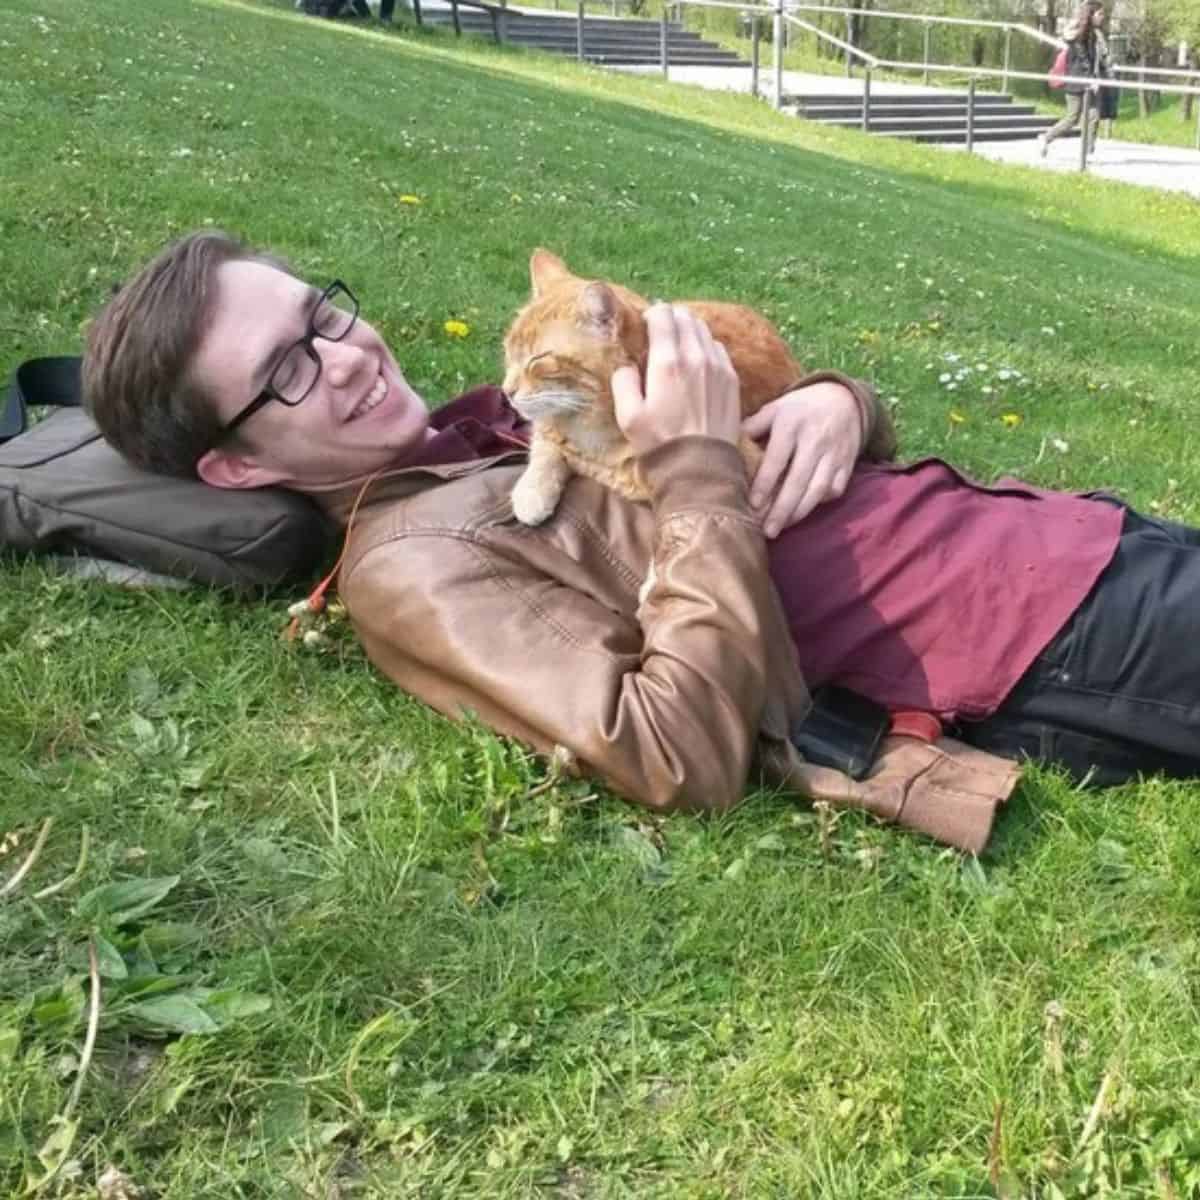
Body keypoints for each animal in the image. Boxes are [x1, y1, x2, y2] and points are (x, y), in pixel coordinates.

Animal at [501, 248, 801, 525]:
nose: (506, 391)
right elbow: (545, 445)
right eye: (509, 351)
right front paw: (532, 492)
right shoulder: (550, 429)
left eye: (538, 359)